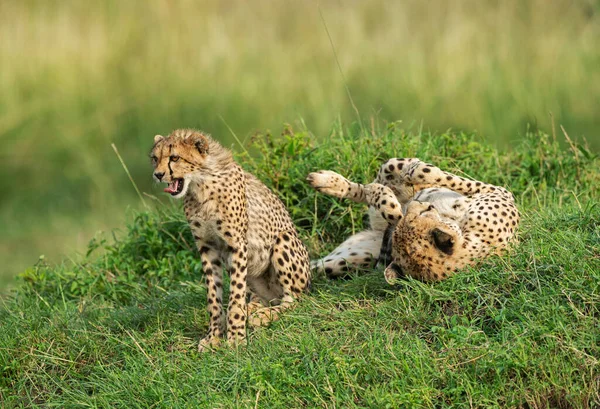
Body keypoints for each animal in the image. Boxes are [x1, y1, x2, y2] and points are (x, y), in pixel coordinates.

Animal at [151, 129, 310, 350]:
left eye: (174, 158)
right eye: (155, 159)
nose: (158, 175)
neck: (200, 184)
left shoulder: (236, 245)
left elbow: (235, 295)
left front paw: (235, 337)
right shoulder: (207, 247)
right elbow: (213, 296)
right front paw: (214, 336)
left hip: (284, 240)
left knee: (293, 299)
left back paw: (263, 315)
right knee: (264, 298)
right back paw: (253, 308)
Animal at [308, 158, 516, 282]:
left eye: (421, 214)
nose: (415, 203)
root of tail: (377, 229)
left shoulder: (500, 193)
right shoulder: (500, 192)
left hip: (346, 261)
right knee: (378, 177)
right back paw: (327, 181)